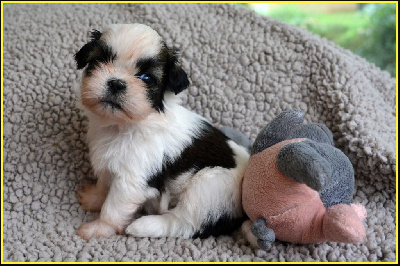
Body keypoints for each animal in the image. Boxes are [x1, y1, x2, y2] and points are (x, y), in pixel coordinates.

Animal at [74, 23, 248, 240]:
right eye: (98, 61)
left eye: (146, 78)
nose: (116, 82)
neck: (124, 125)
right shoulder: (108, 164)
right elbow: (103, 184)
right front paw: (93, 197)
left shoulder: (131, 181)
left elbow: (113, 208)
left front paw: (98, 229)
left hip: (208, 188)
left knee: (183, 223)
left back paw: (143, 225)